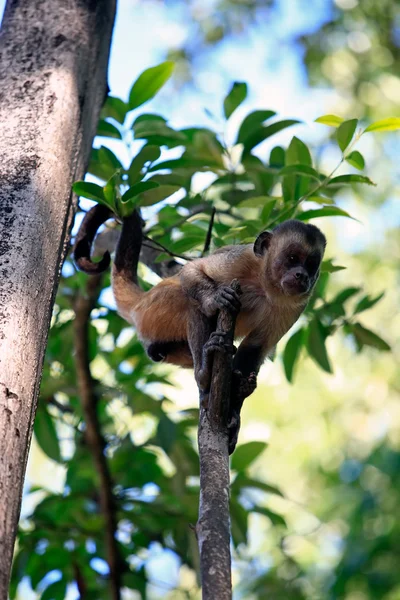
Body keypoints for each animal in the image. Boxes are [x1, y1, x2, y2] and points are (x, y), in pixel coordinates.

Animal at [74, 206, 324, 450]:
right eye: (292, 258)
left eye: (311, 265)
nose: (302, 275)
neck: (264, 285)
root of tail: (140, 302)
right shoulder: (242, 260)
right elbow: (194, 270)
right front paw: (215, 298)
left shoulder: (296, 305)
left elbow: (255, 347)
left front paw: (234, 410)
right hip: (155, 310)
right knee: (191, 303)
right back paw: (204, 373)